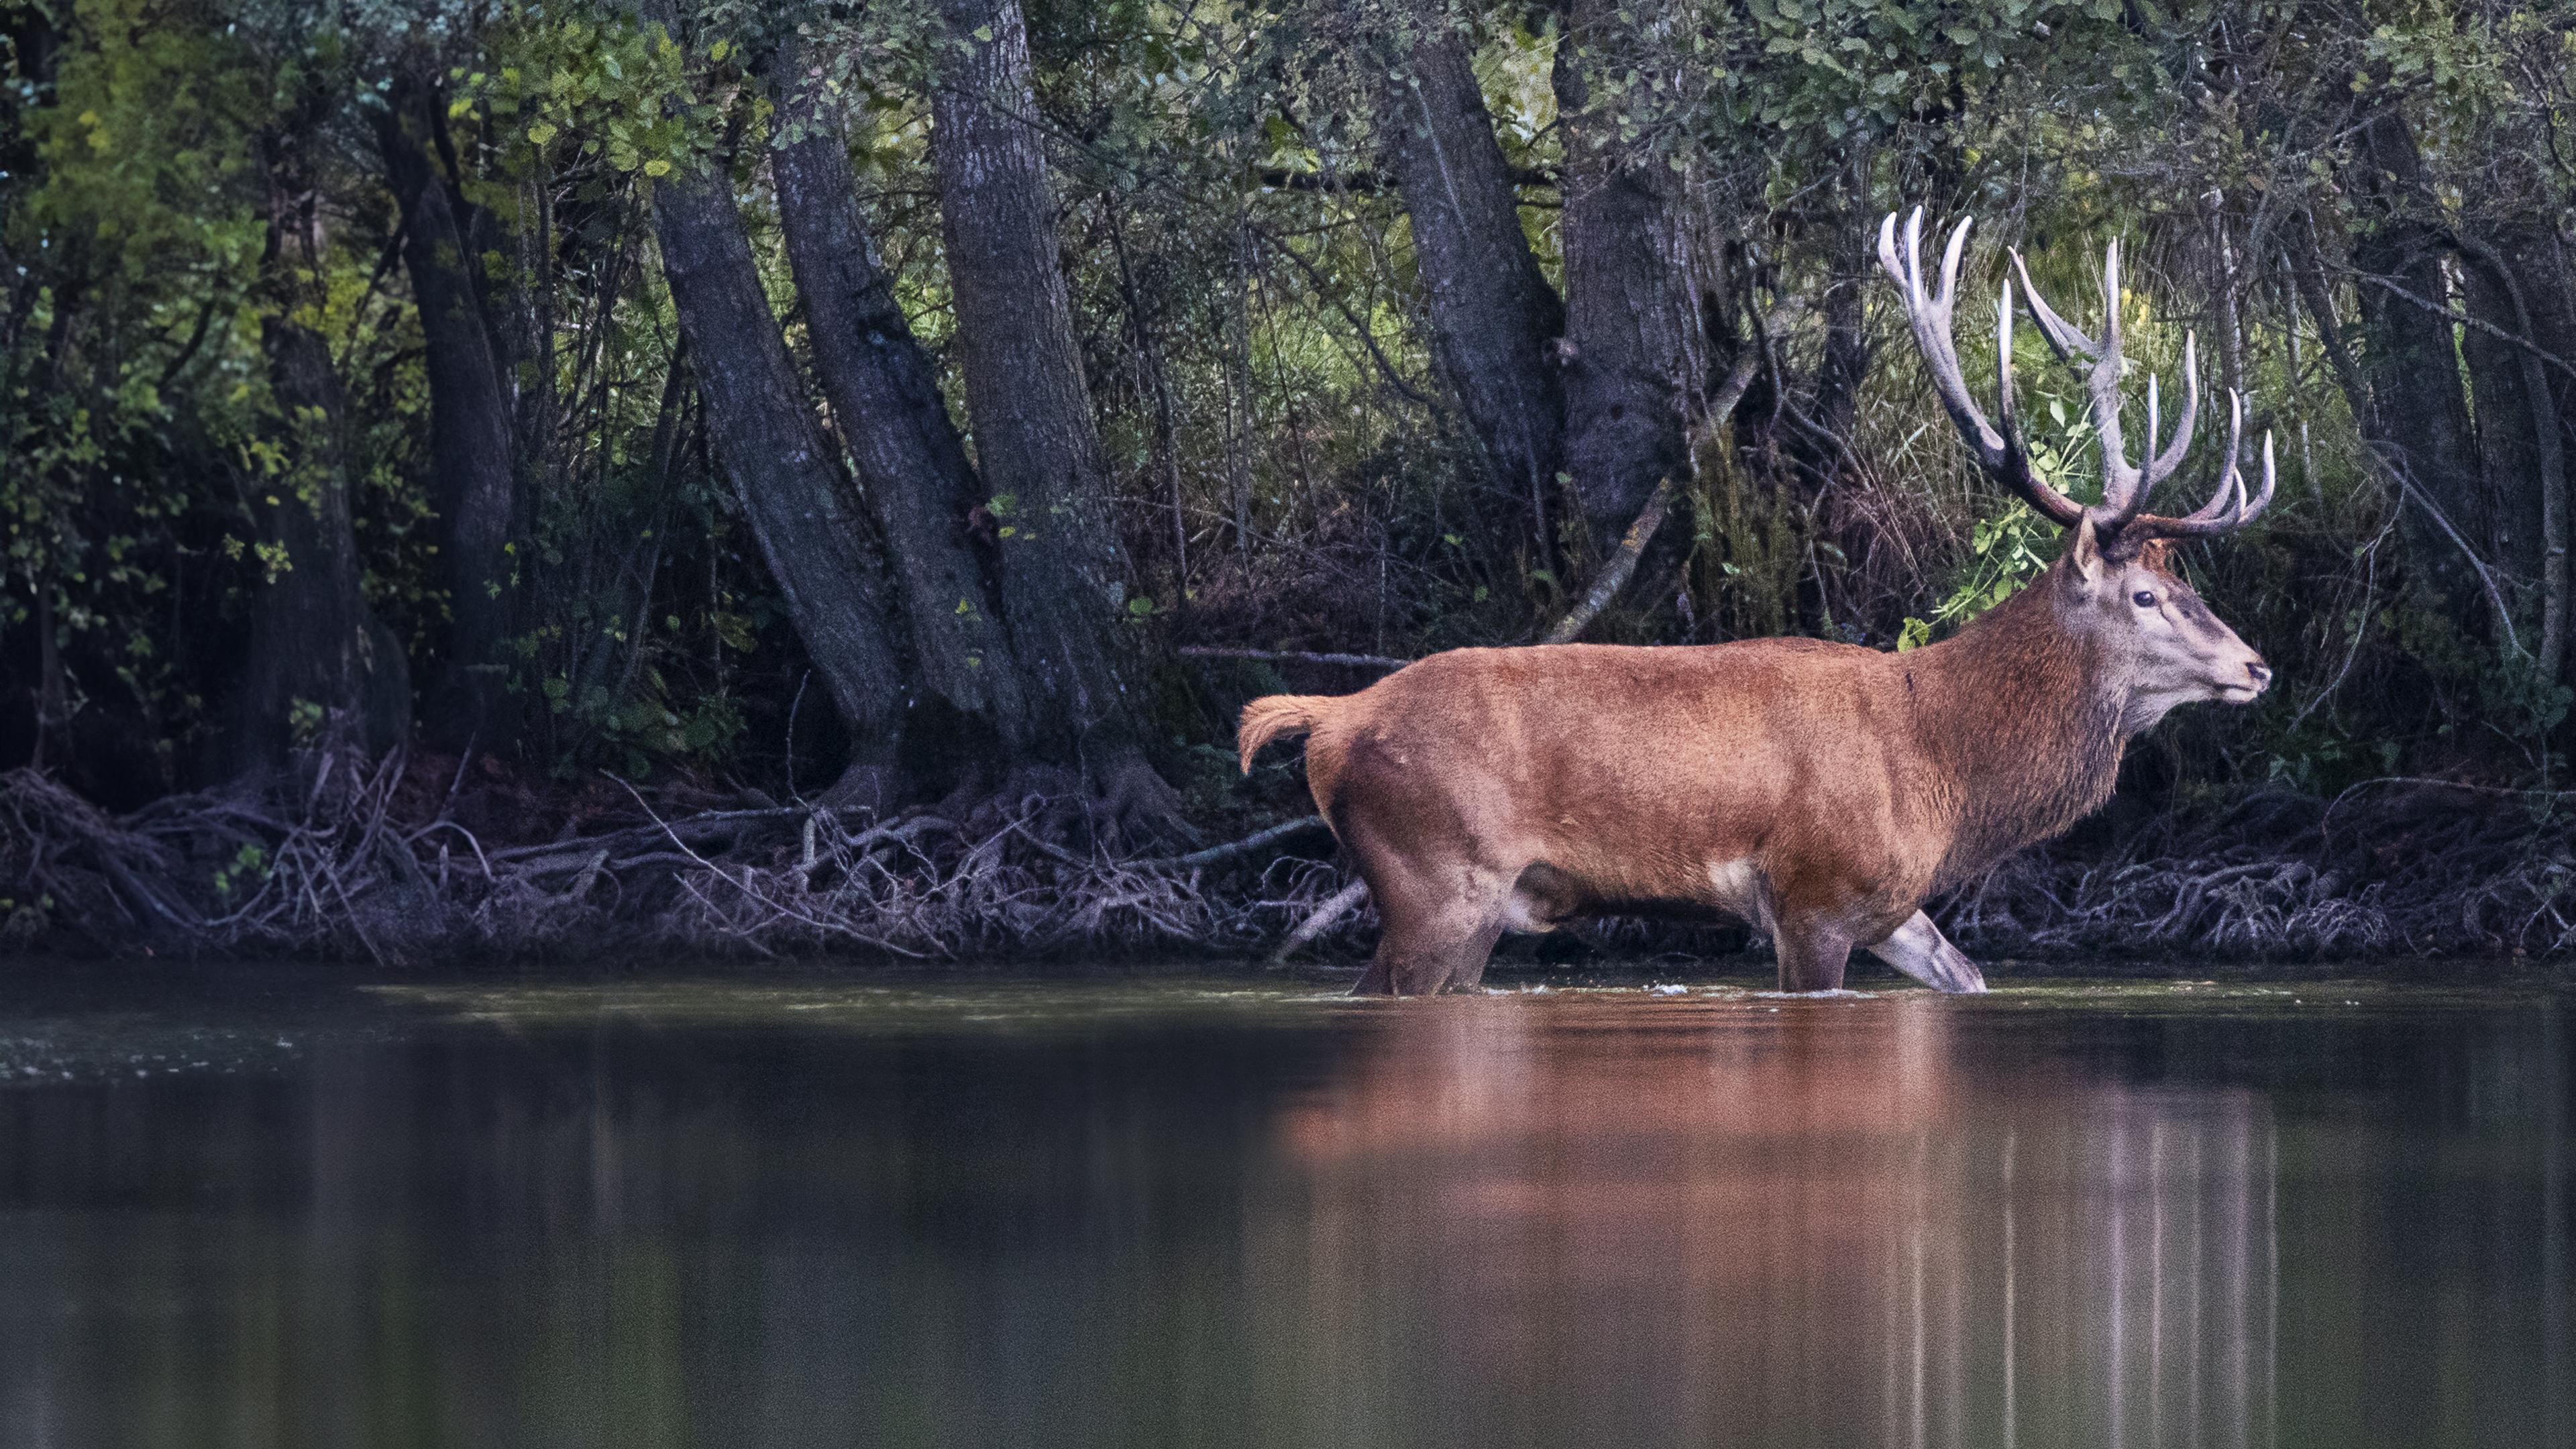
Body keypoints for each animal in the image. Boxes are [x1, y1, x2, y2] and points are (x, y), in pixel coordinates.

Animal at [1238, 209, 2277, 995]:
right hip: (1435, 881)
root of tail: (1328, 719)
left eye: (2184, 584)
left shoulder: (1893, 907)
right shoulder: (1812, 891)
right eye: (2146, 594)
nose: (2256, 665)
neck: (1943, 767)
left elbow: (1969, 976)